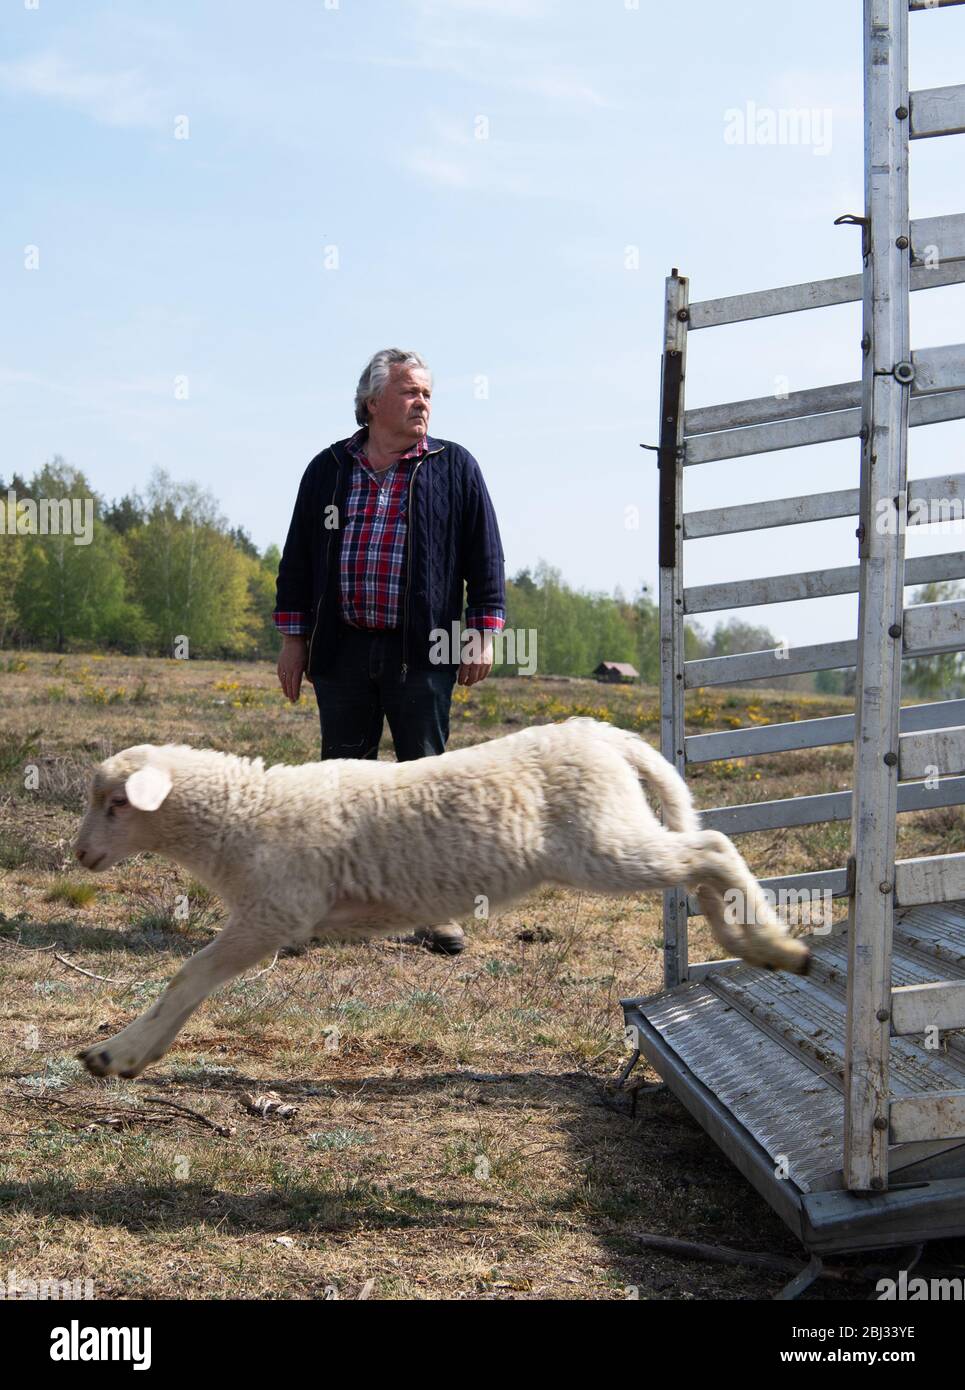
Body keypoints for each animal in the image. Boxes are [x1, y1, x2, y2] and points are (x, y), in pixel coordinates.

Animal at [73, 722, 806, 1078]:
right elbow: (194, 984)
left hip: (601, 842)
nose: (78, 856)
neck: (244, 813)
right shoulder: (266, 916)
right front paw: (134, 1055)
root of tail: (606, 735)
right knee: (698, 860)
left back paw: (774, 944)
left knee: (711, 846)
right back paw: (742, 939)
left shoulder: (275, 912)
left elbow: (189, 976)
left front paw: (118, 1051)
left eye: (116, 805)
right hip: (615, 834)